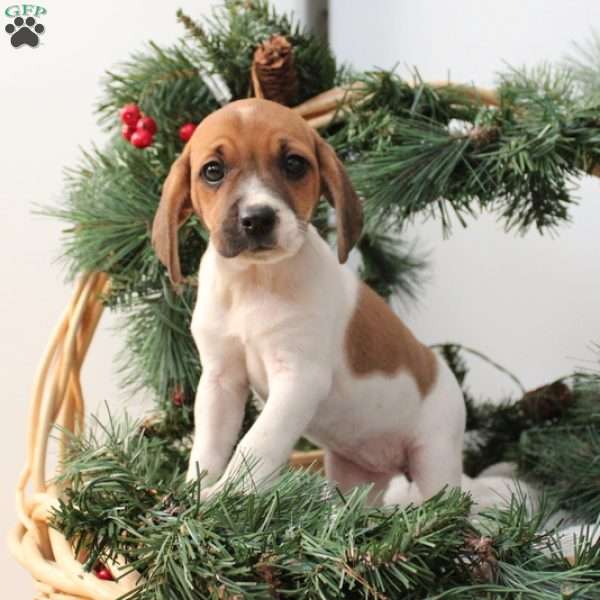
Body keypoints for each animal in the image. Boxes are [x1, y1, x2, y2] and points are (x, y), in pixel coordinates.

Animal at [152, 99, 466, 506]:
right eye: (213, 171)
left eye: (294, 164)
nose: (257, 219)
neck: (253, 282)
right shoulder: (220, 381)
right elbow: (207, 448)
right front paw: (193, 492)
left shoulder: (299, 378)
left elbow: (257, 443)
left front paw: (227, 495)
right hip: (355, 477)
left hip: (435, 460)